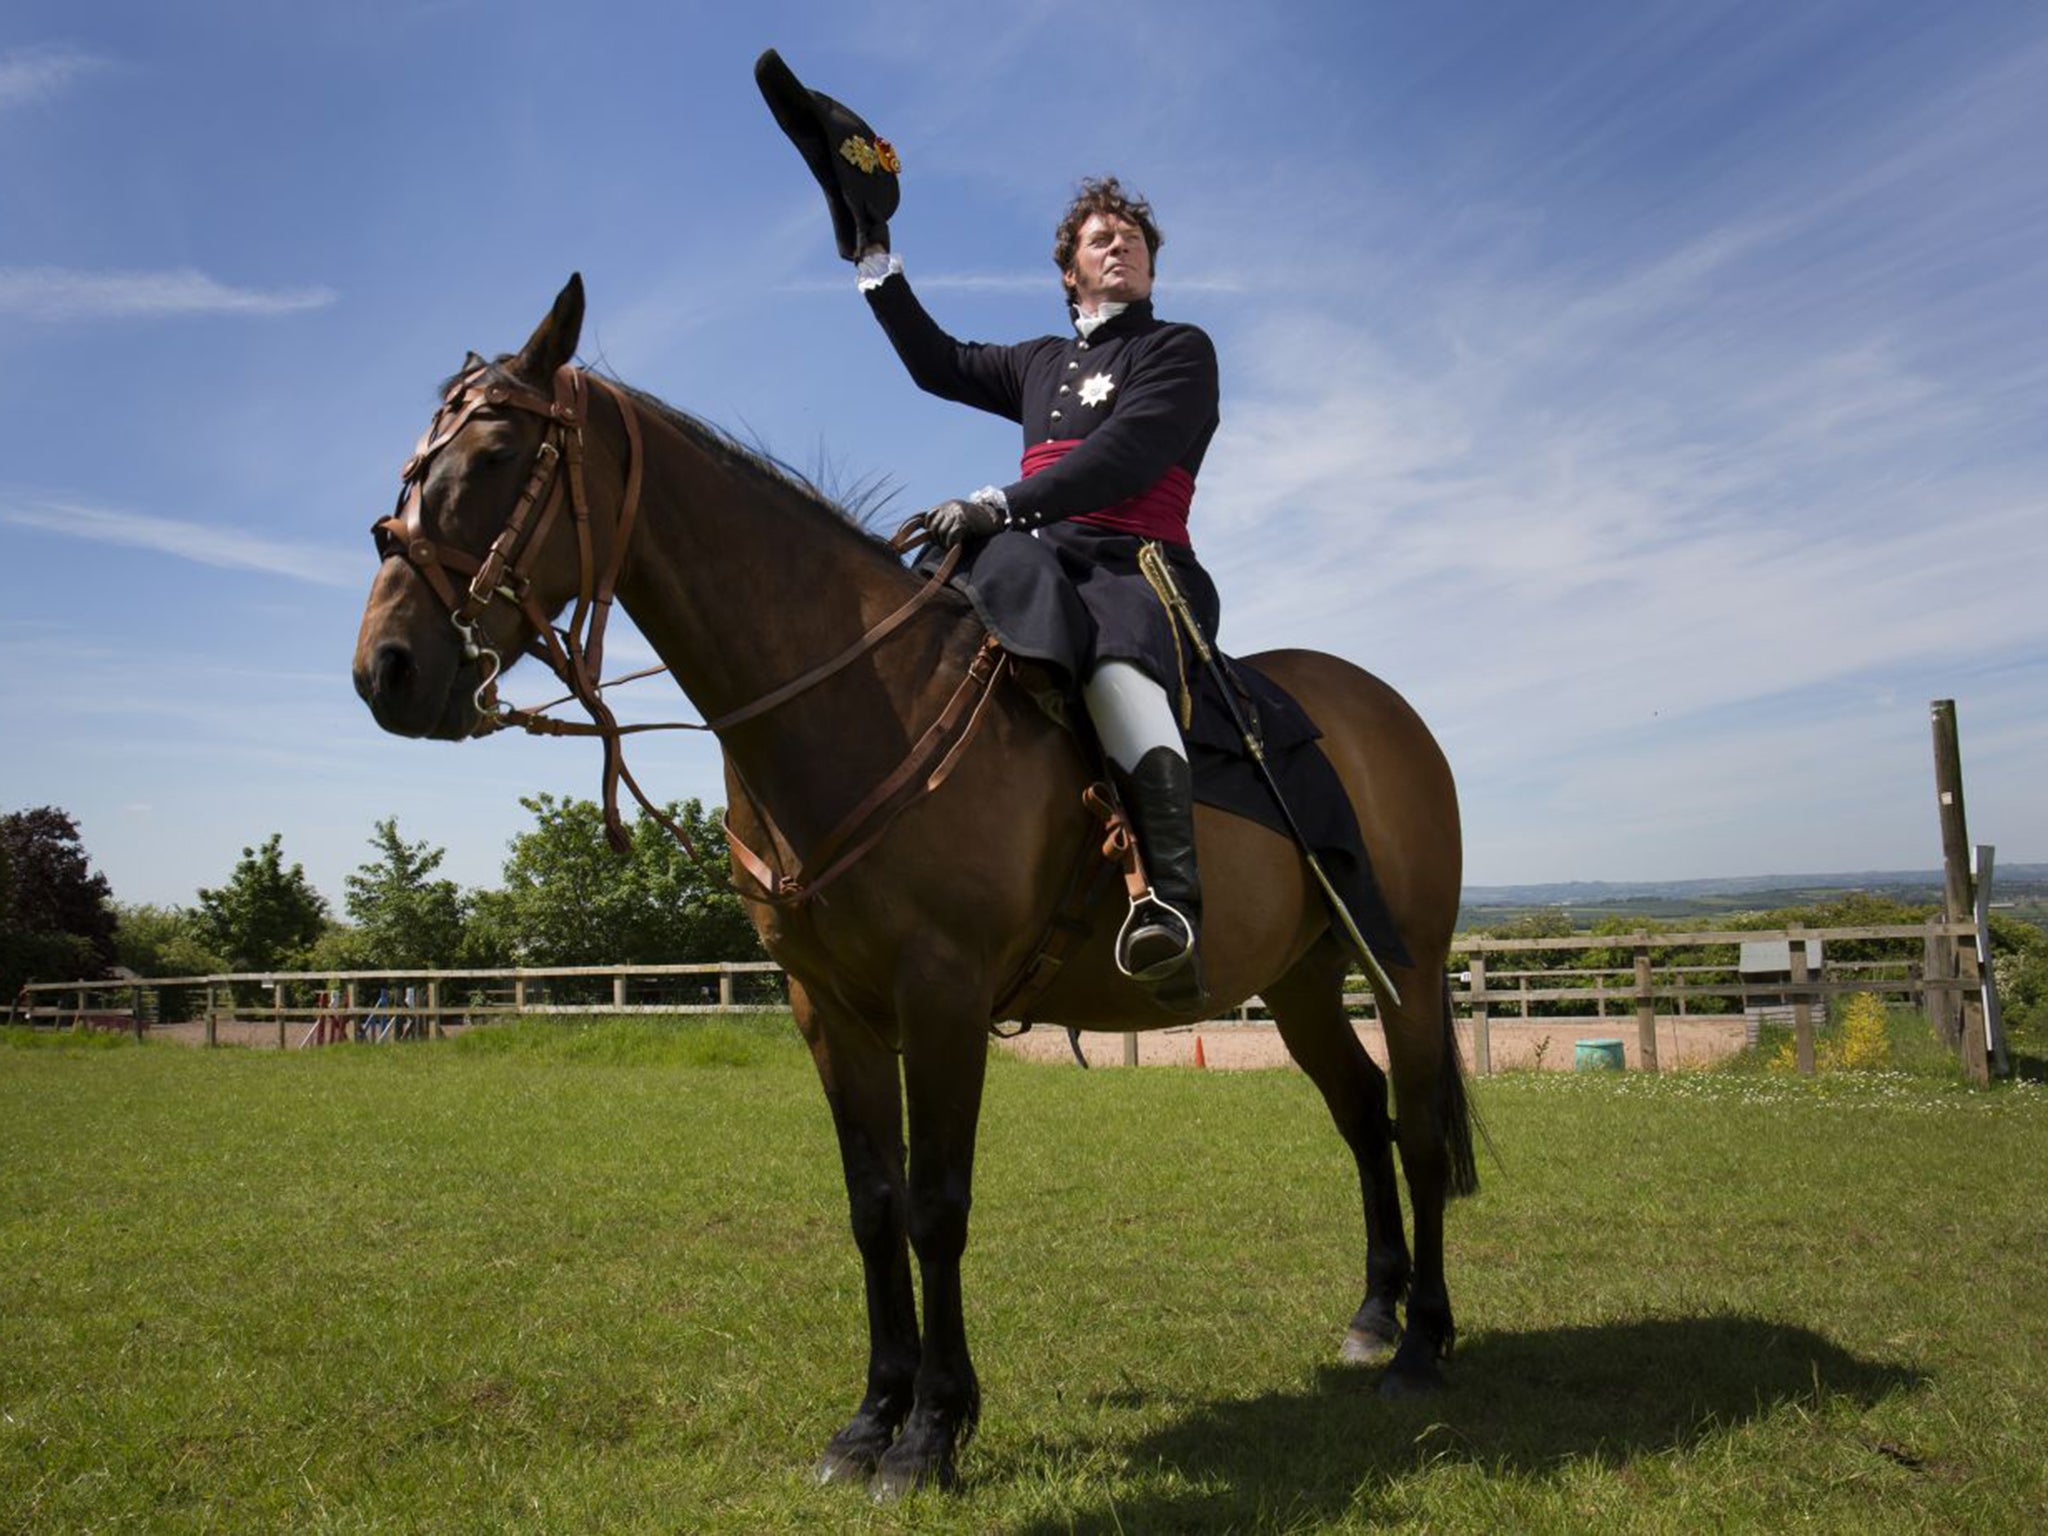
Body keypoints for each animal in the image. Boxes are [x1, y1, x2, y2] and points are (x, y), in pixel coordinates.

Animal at [352, 274, 1474, 1490]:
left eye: (496, 454)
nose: (385, 670)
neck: (857, 697)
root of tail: (1380, 707)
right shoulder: (828, 1009)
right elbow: (871, 1204)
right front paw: (870, 1418)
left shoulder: (942, 996)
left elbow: (936, 1206)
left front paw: (933, 1429)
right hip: (1301, 979)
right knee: (1361, 1113)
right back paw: (1373, 1316)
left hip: (1409, 968)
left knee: (1416, 1127)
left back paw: (1424, 1344)